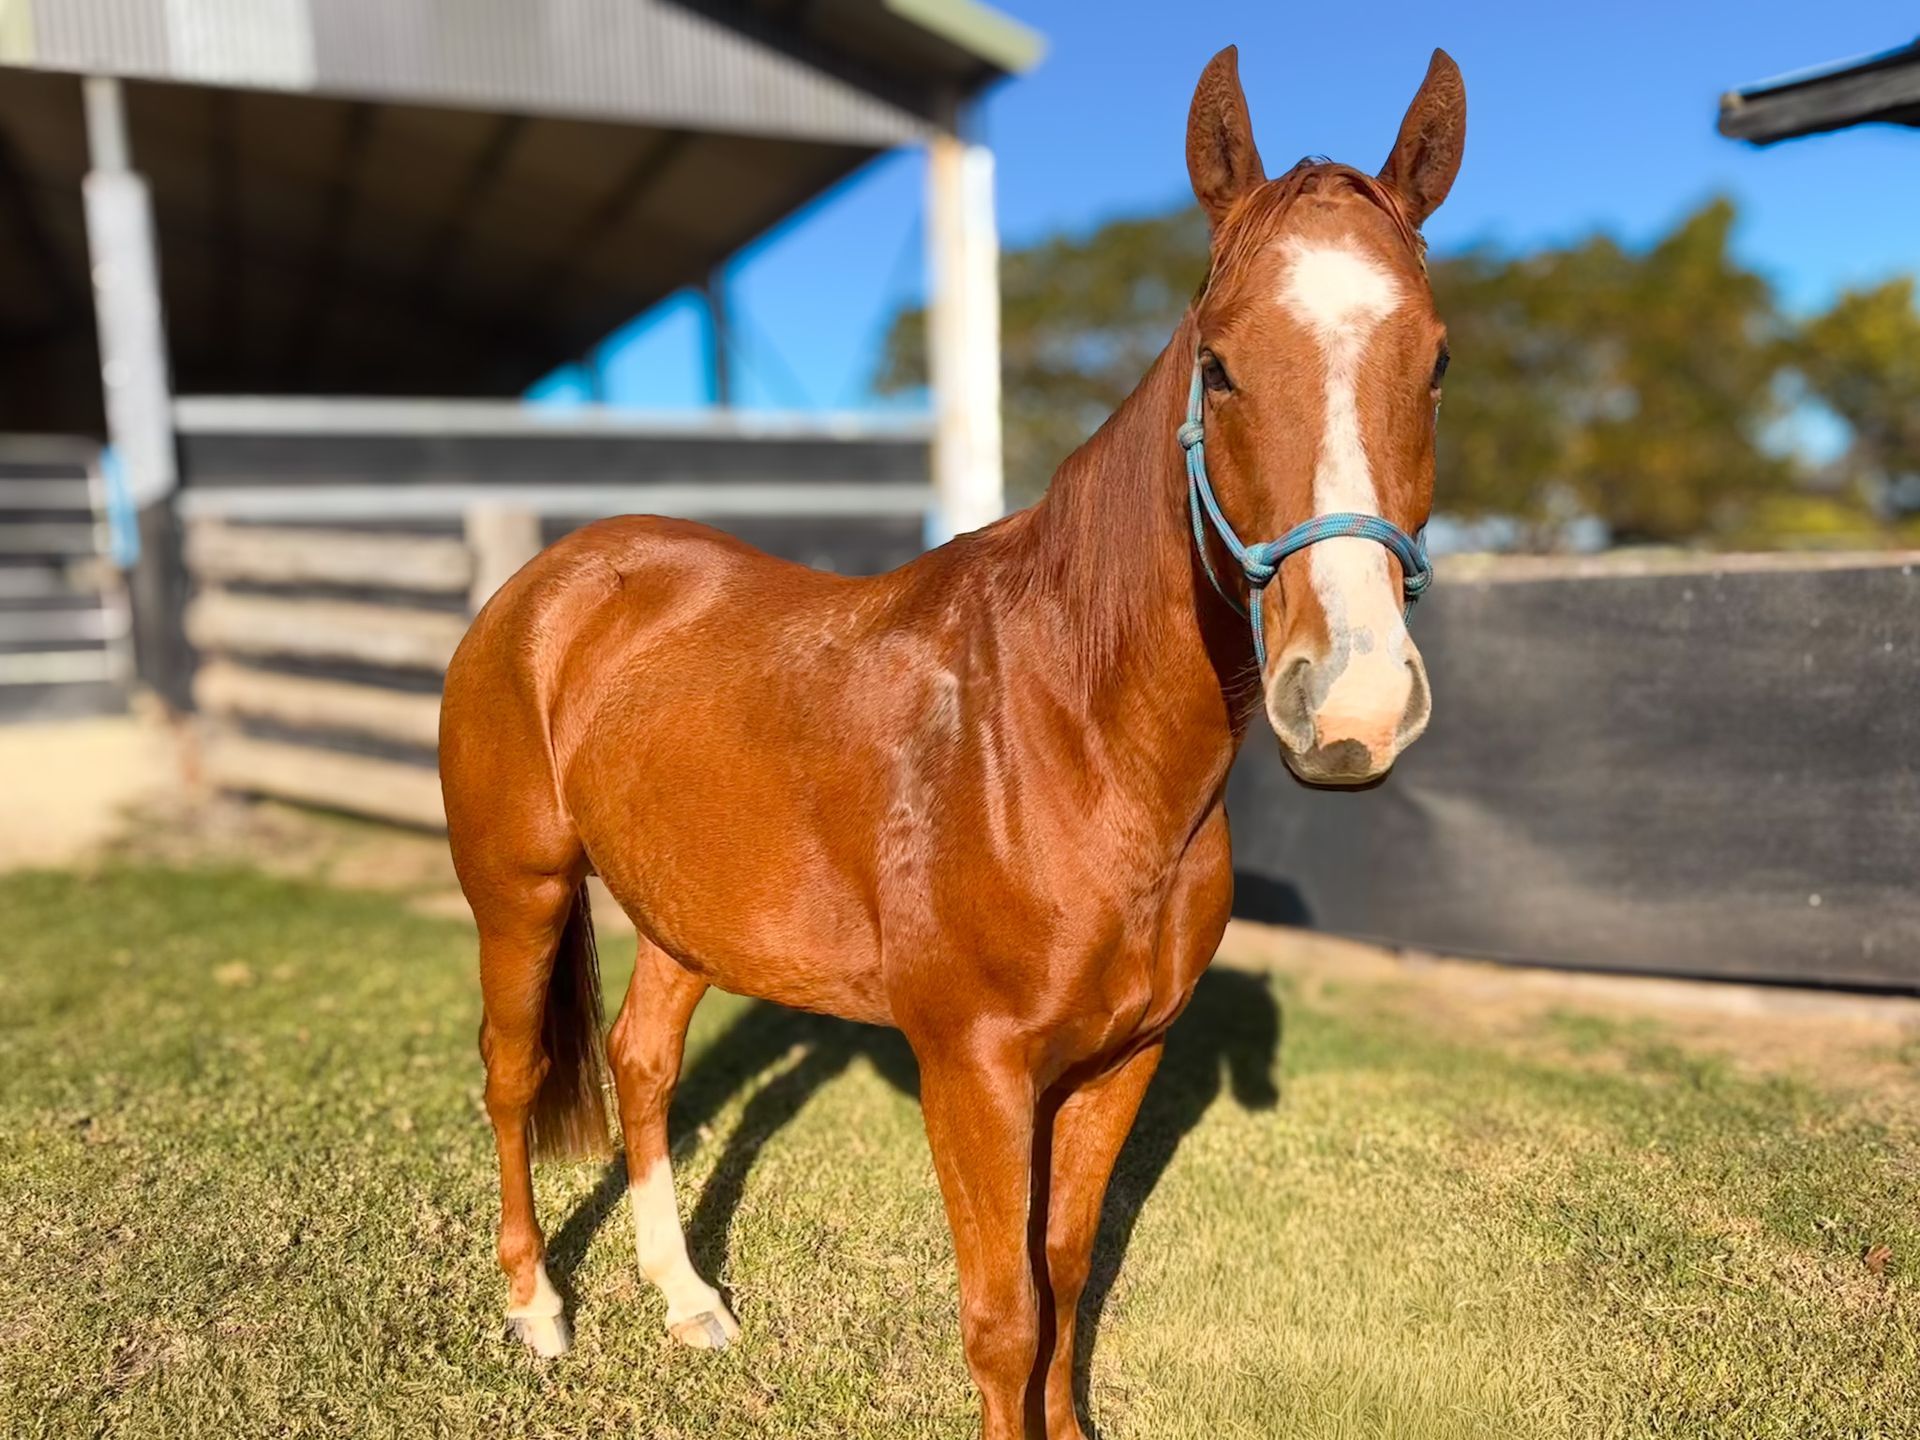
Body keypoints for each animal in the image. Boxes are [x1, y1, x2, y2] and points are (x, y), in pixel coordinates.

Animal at [439, 43, 1465, 1440]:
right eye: (1219, 366)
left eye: (1436, 362)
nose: (1351, 706)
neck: (1069, 739)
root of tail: (550, 582)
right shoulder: (971, 1073)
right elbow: (1004, 1316)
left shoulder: (1120, 1063)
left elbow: (1068, 1277)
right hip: (522, 892)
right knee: (507, 1077)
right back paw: (537, 1310)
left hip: (680, 915)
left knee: (642, 1066)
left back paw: (688, 1303)